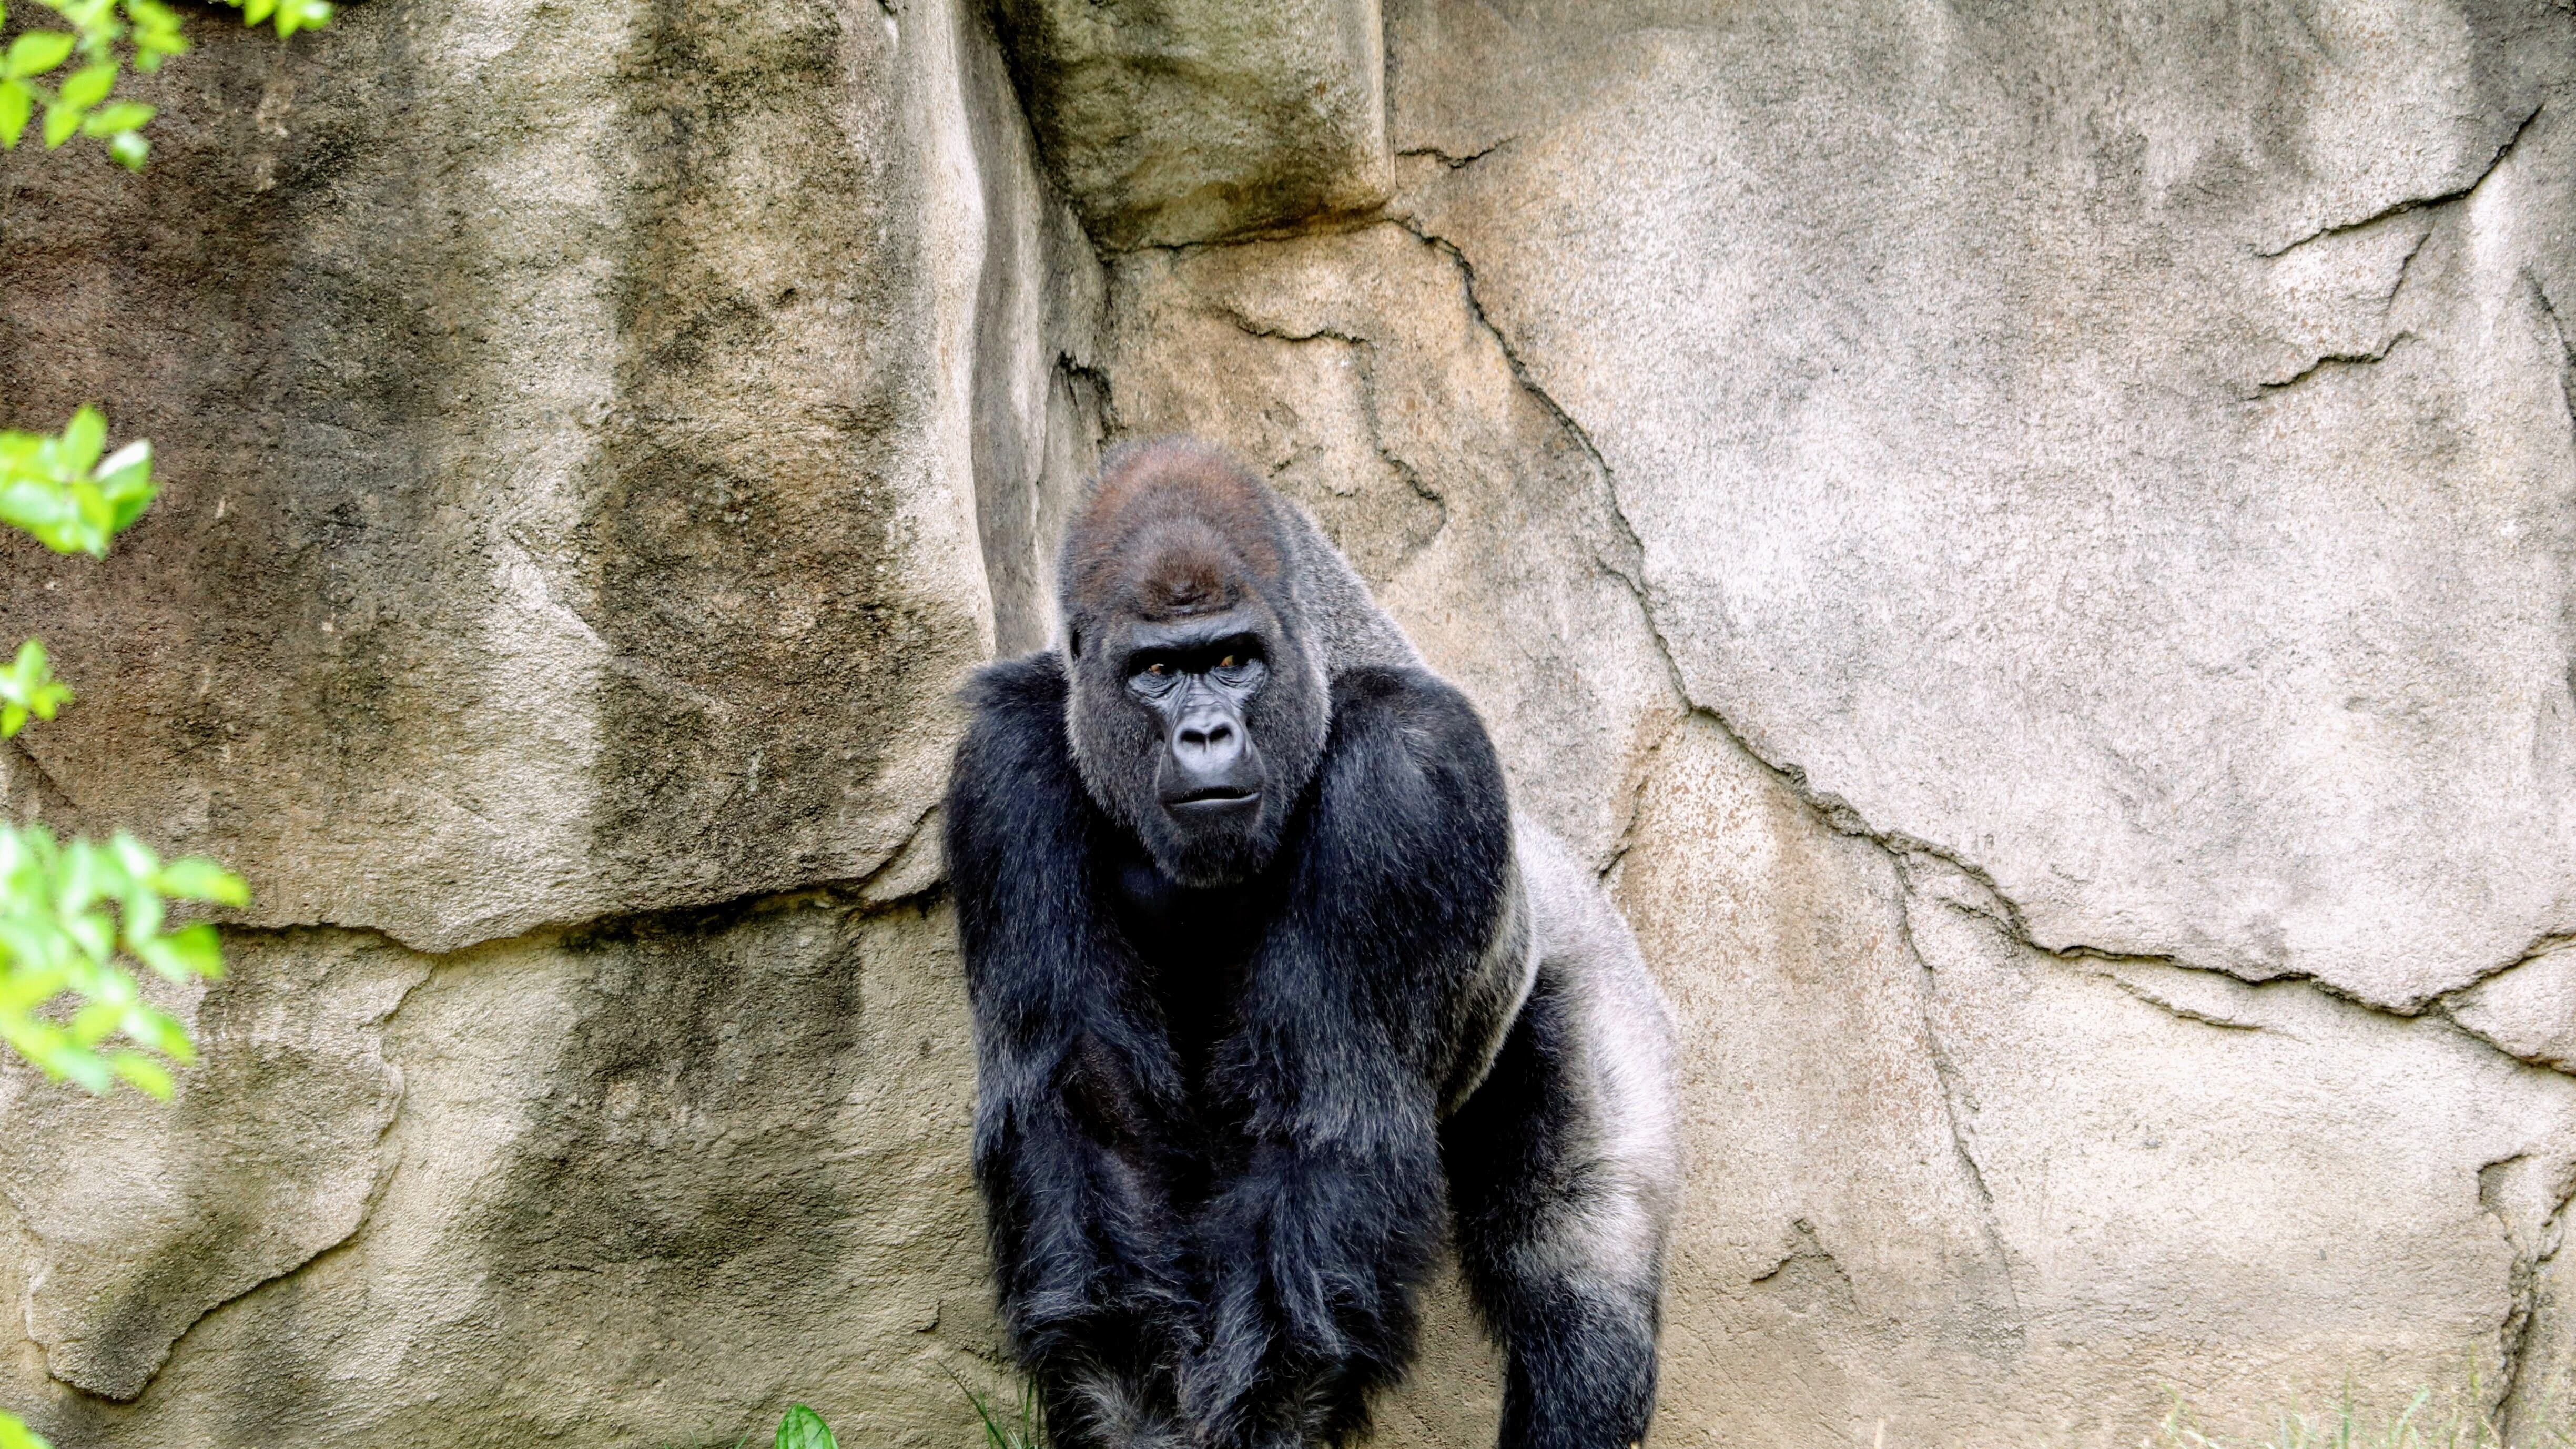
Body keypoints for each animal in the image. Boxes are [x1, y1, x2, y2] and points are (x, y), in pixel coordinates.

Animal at [944, 437, 1678, 1449]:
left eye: (1232, 659)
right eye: (1155, 672)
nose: (1205, 732)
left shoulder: (1409, 773)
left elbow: (1325, 1137)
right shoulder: (1005, 765)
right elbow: (1089, 1126)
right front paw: (1134, 1416)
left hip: (1587, 969)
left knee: (1576, 1270)